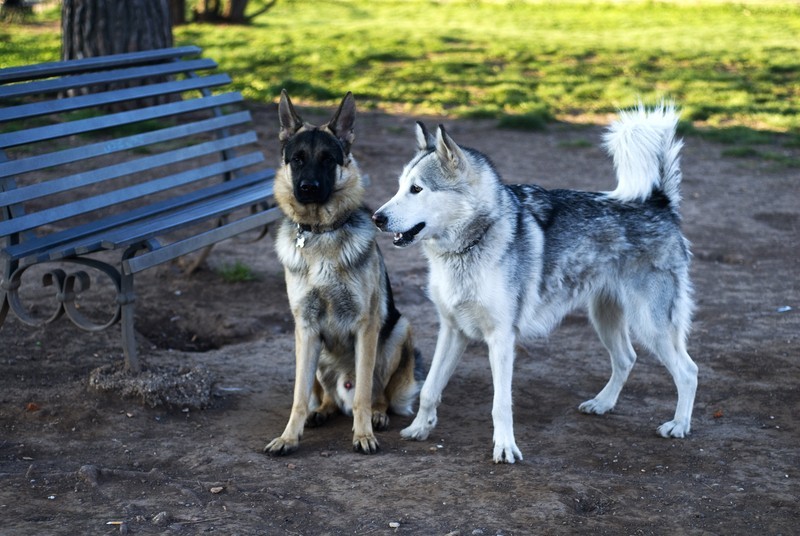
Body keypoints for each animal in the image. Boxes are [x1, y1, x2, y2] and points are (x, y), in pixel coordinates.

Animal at [264, 90, 424, 454]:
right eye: (297, 159)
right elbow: (298, 397)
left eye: (327, 159)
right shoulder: (306, 328)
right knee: (326, 397)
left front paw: (363, 434)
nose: (307, 188)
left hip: (397, 332)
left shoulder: (366, 327)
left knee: (377, 393)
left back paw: (377, 415)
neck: (321, 233)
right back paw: (321, 411)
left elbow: (365, 391)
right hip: (312, 351)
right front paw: (288, 436)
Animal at [372, 102, 696, 462]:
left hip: (650, 325)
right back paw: (602, 403)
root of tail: (659, 202)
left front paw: (505, 448)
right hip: (605, 318)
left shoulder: (501, 339)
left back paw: (678, 425)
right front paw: (419, 429)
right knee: (627, 359)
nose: (376, 218)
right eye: (399, 186)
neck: (472, 243)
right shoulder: (452, 330)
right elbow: (430, 388)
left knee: (688, 372)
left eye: (416, 189)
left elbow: (501, 405)